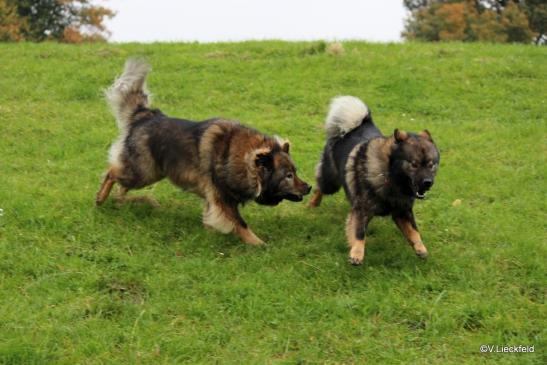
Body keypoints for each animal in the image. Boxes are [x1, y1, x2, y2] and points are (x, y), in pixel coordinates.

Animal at [308, 95, 440, 264]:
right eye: (414, 164)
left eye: (431, 165)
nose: (428, 182)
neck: (390, 177)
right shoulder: (362, 209)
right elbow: (359, 232)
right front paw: (357, 253)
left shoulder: (402, 211)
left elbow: (414, 231)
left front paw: (420, 248)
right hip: (331, 180)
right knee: (320, 187)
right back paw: (313, 204)